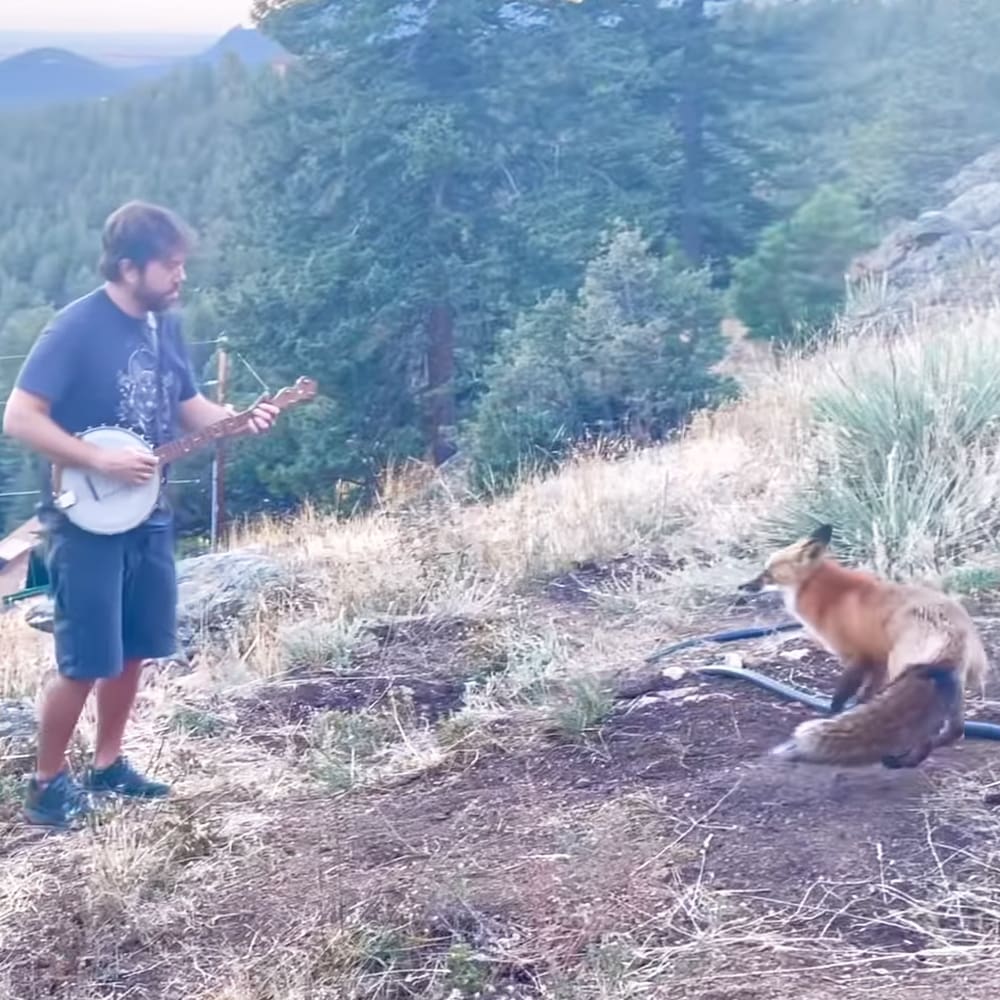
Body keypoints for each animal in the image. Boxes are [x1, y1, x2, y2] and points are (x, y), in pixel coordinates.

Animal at [738, 523, 991, 769]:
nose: (742, 587)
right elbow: (866, 698)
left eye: (768, 572)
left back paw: (900, 760)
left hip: (903, 671)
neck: (829, 597)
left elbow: (841, 697)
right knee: (955, 731)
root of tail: (953, 632)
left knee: (929, 734)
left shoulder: (857, 657)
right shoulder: (878, 659)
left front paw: (834, 715)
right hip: (950, 685)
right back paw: (911, 759)